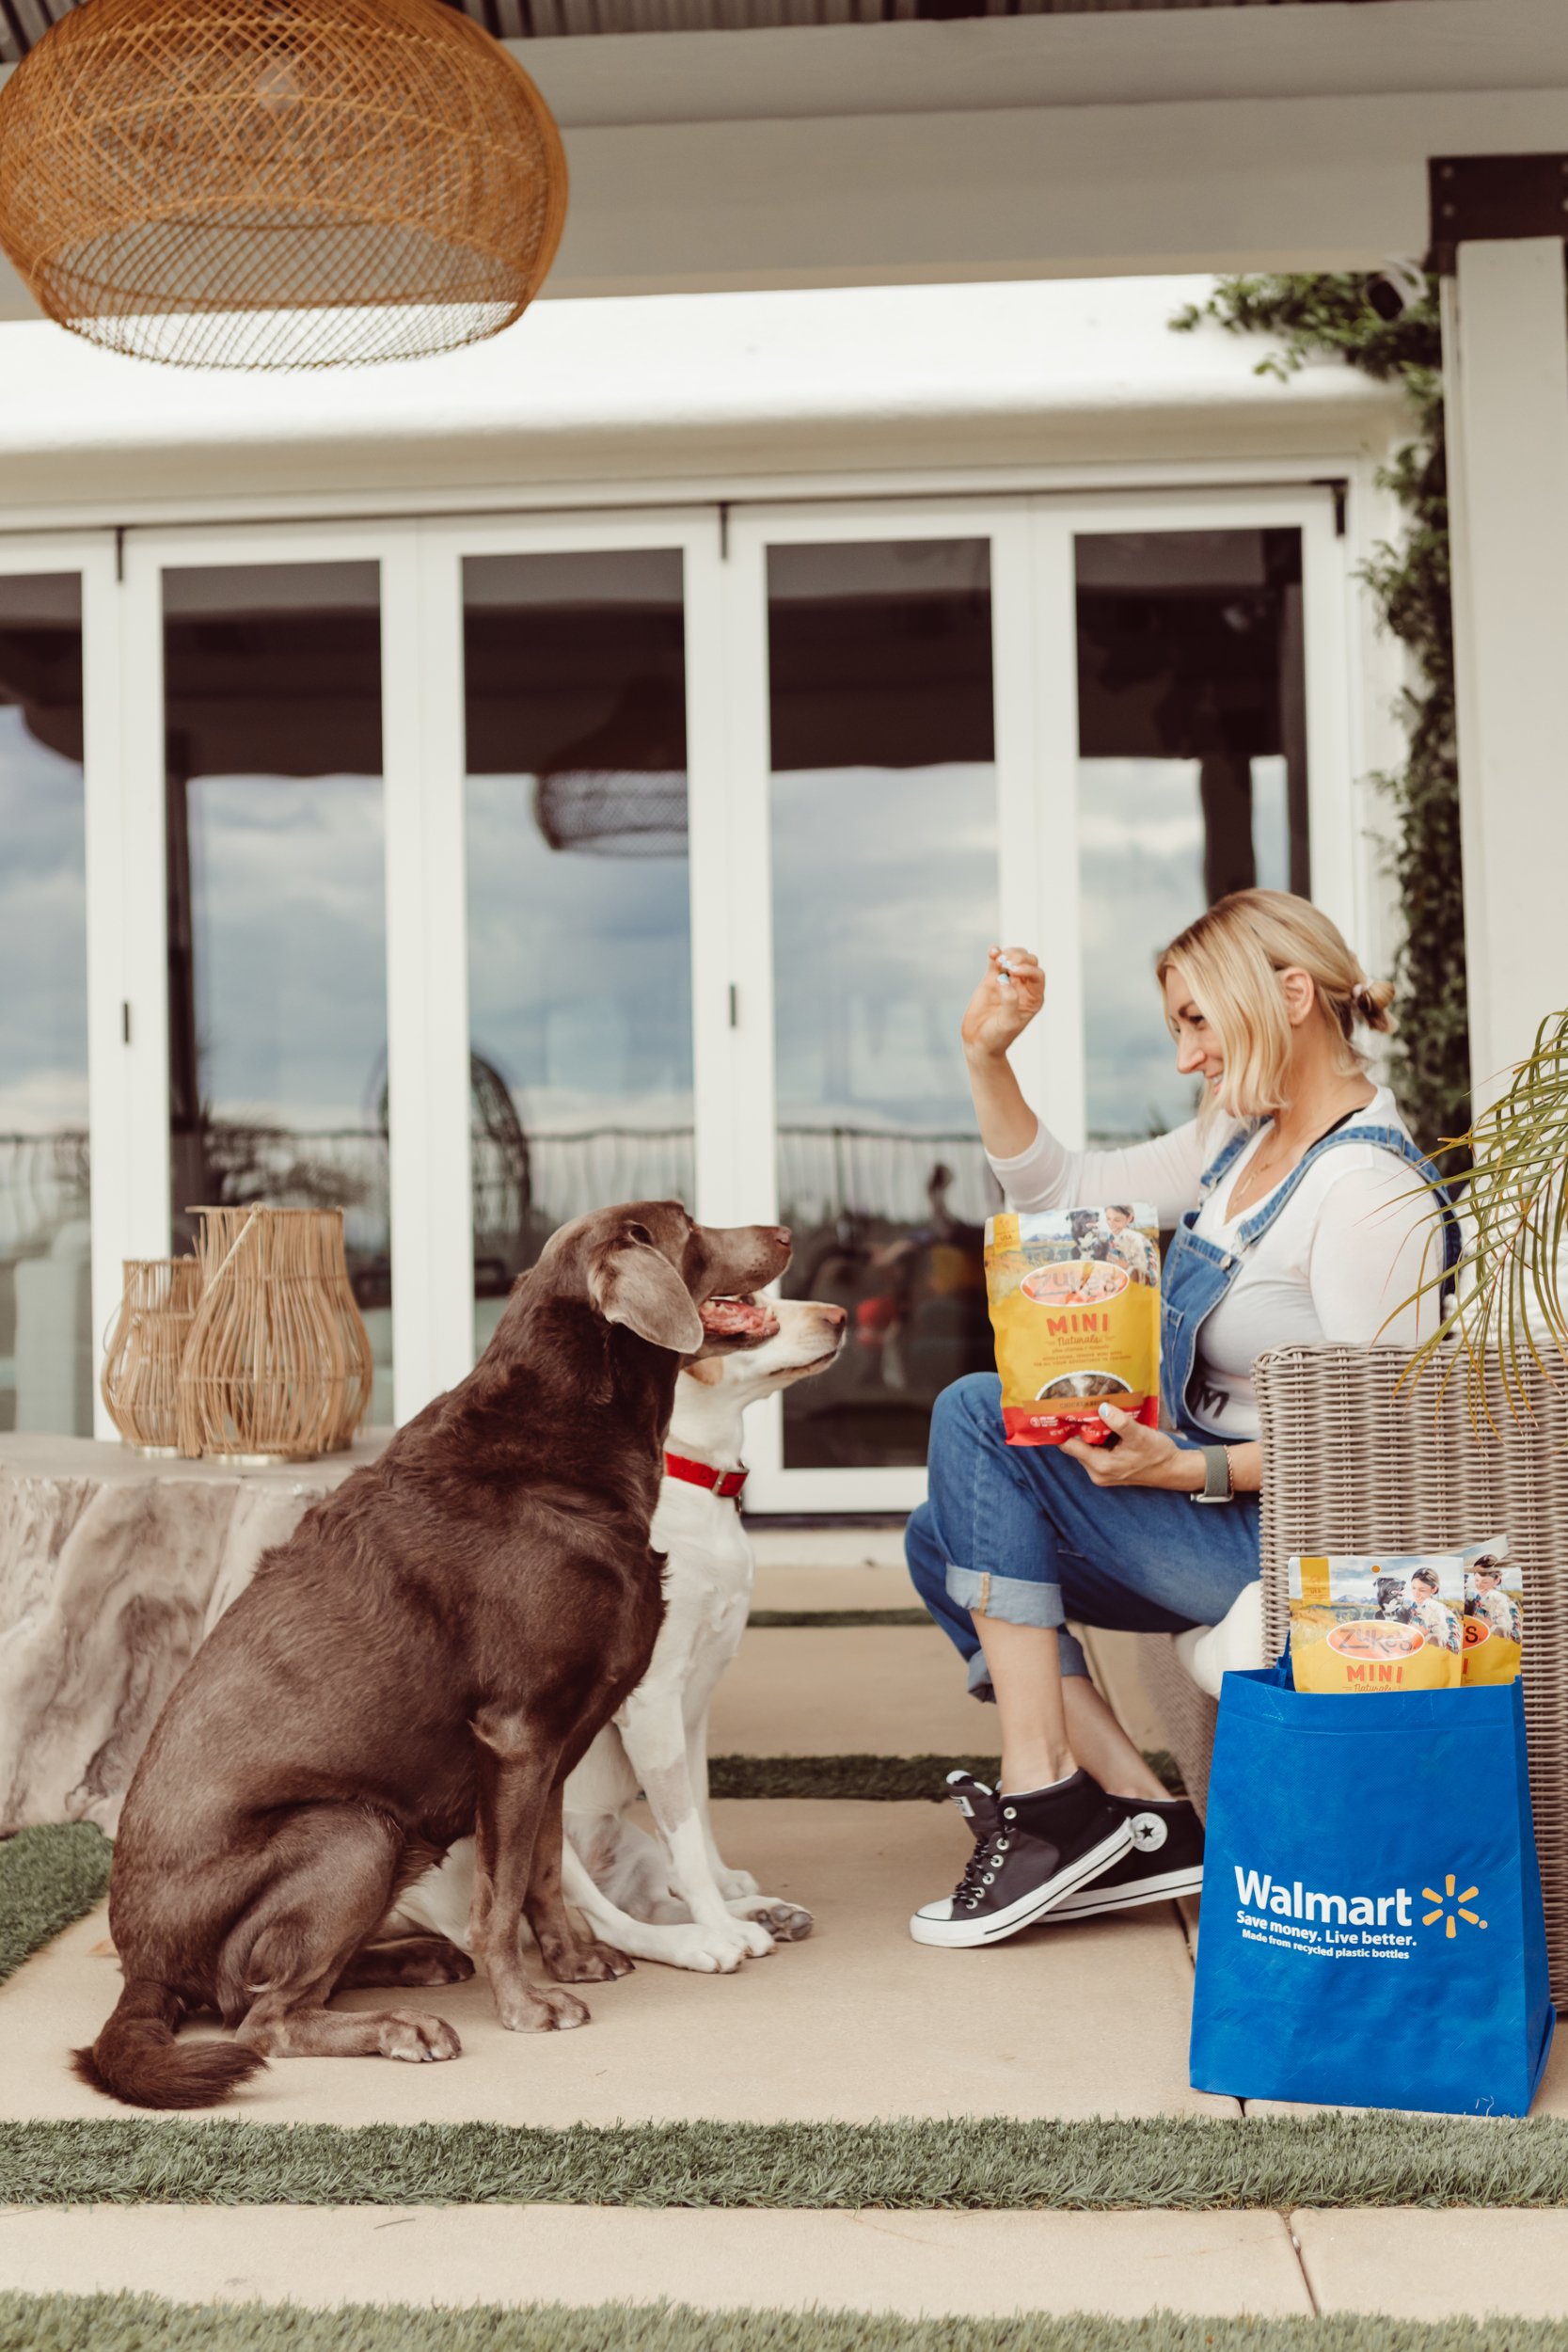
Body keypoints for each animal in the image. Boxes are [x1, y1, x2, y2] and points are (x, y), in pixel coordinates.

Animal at [385, 1298, 846, 1976]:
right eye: (739, 1308)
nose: (839, 1316)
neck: (696, 1477)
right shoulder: (652, 1701)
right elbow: (684, 1834)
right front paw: (719, 1924)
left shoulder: (695, 1706)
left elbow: (697, 1816)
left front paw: (727, 1893)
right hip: (523, 1820)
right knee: (601, 1922)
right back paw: (704, 1941)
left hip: (622, 1842)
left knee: (648, 1897)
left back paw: (759, 1914)